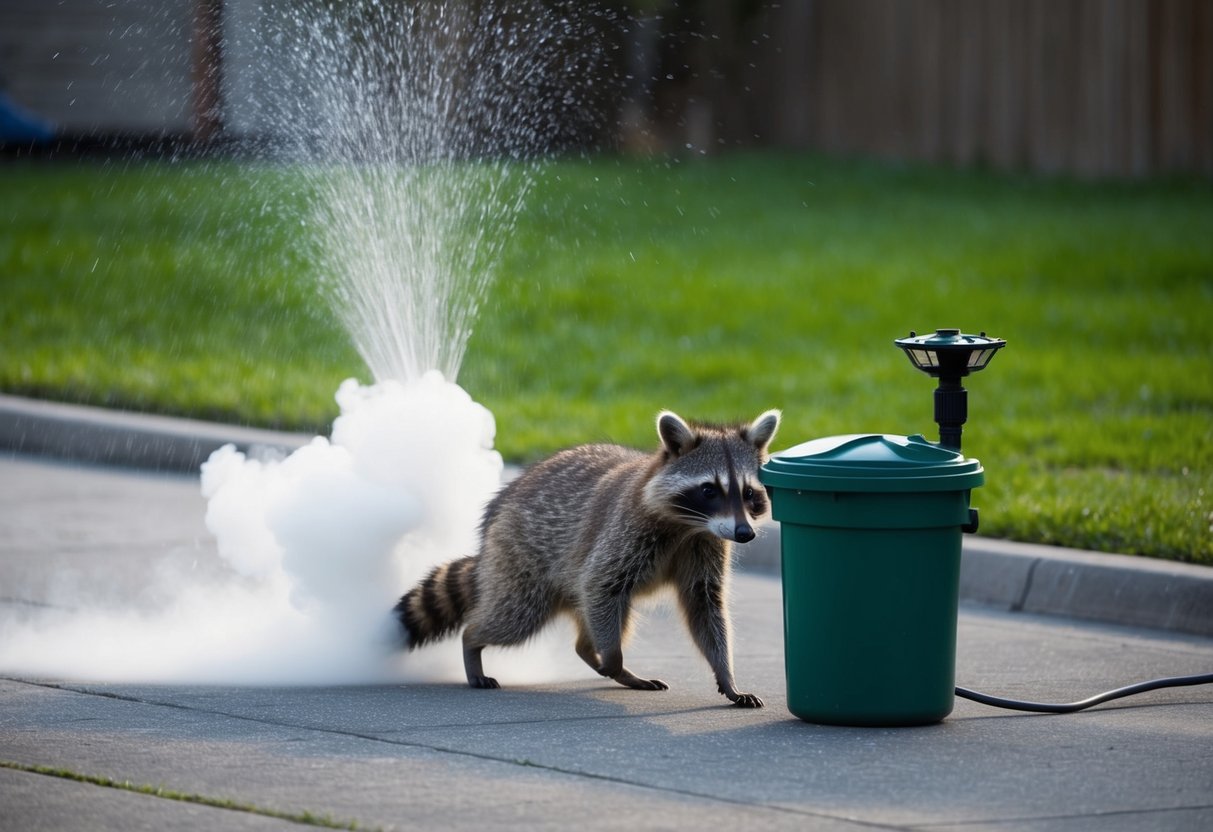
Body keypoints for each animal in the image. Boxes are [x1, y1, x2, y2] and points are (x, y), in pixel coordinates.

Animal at [394, 408, 781, 707]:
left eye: (749, 493)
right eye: (709, 490)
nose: (744, 533)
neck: (688, 525)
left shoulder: (705, 545)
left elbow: (705, 604)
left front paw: (726, 676)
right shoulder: (625, 531)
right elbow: (601, 583)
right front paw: (612, 658)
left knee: (597, 620)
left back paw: (595, 655)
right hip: (521, 560)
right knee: (515, 616)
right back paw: (473, 642)